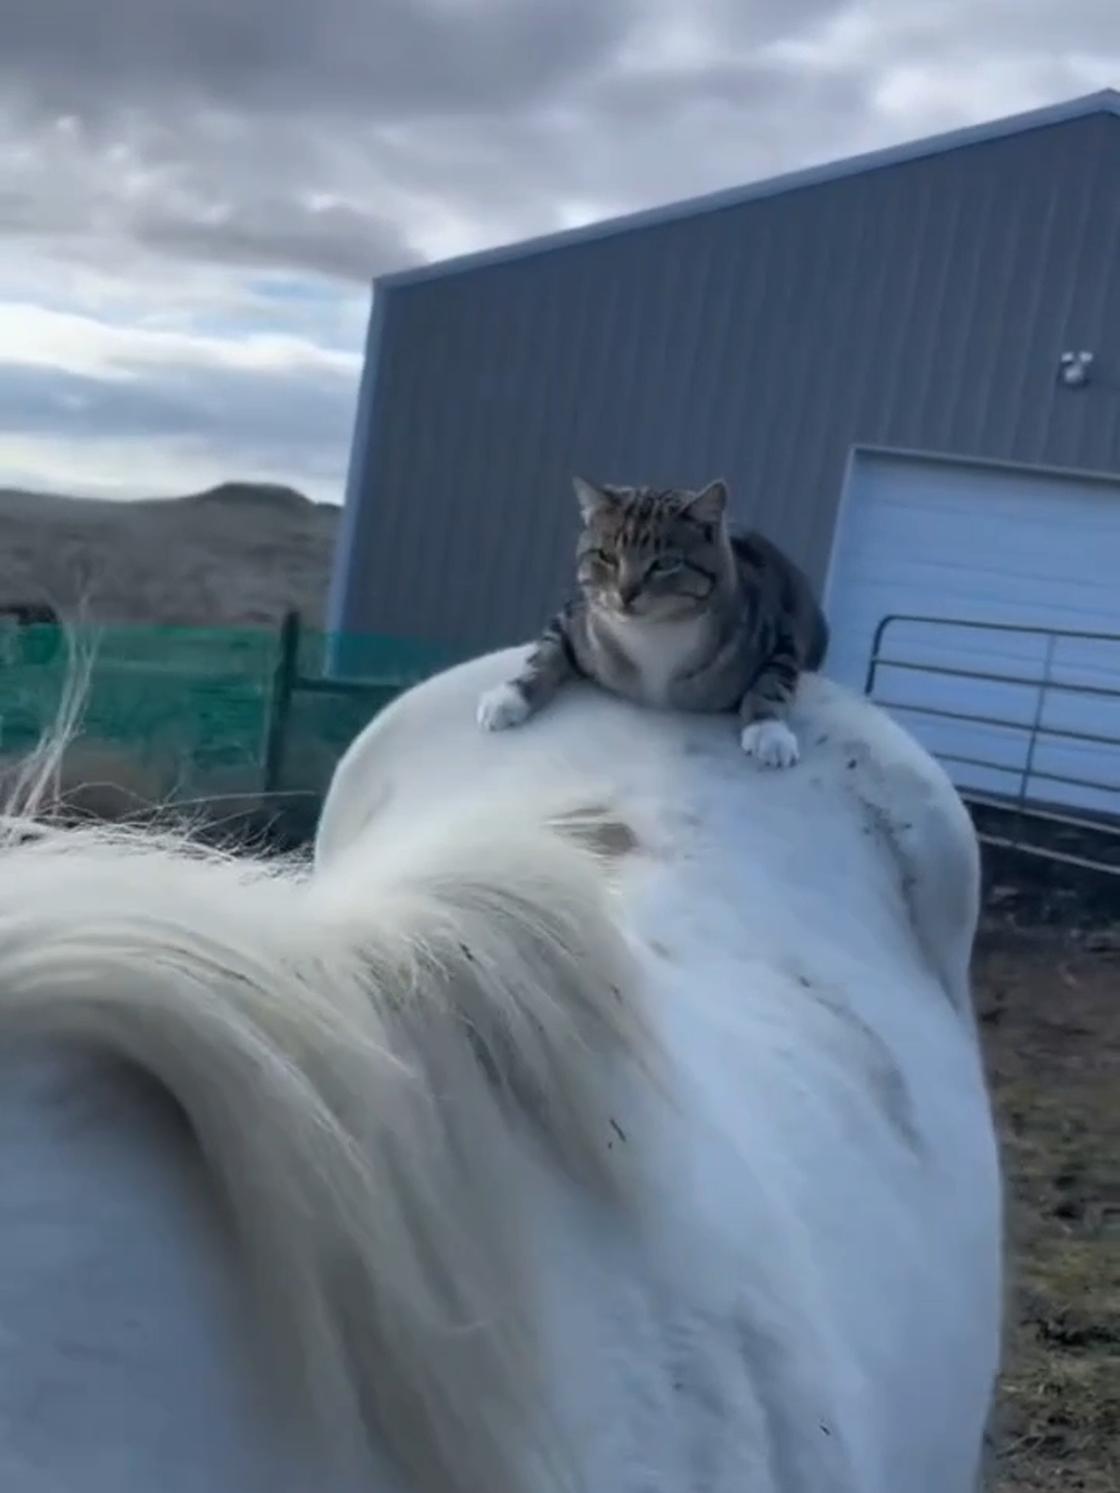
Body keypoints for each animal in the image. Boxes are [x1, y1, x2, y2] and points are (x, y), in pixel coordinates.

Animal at [477, 477, 830, 770]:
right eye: (606, 556)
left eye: (667, 563)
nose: (625, 593)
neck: (653, 632)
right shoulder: (574, 615)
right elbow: (544, 656)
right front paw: (508, 697)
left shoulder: (781, 633)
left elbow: (773, 679)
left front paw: (769, 732)